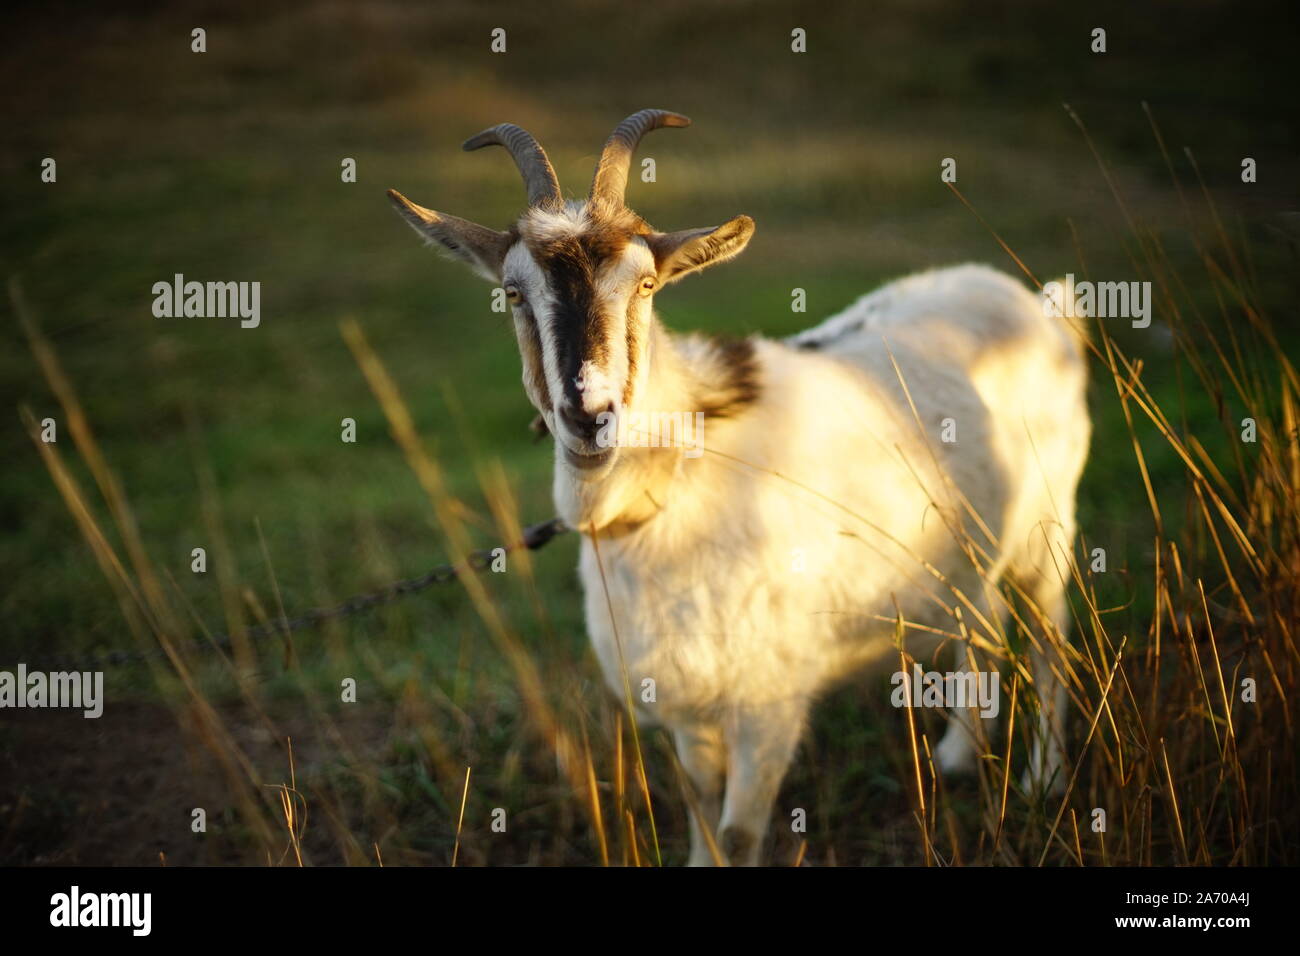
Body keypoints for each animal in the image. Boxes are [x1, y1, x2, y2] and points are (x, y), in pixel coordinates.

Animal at [388, 110, 1091, 866]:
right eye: (513, 292)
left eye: (646, 287)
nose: (590, 413)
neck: (673, 498)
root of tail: (1034, 303)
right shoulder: (688, 707)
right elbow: (702, 811)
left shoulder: (770, 703)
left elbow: (738, 828)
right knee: (981, 611)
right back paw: (960, 754)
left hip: (1049, 523)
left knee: (1049, 636)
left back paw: (1043, 779)